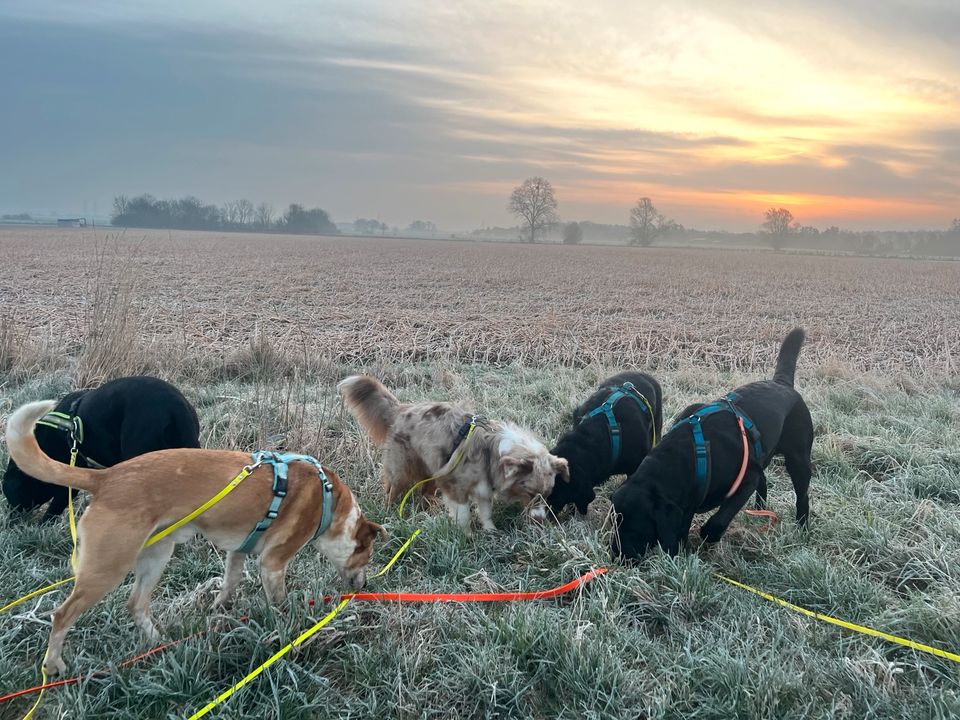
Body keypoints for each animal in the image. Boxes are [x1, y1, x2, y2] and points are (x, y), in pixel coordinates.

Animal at [6, 400, 386, 676]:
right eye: (367, 557)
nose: (364, 587)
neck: (329, 502)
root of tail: (107, 477)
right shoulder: (273, 562)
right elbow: (280, 603)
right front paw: (293, 630)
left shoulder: (239, 551)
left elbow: (229, 584)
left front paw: (219, 612)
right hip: (107, 568)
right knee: (62, 615)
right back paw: (53, 665)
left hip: (156, 555)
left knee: (136, 604)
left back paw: (160, 642)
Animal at [338, 374, 568, 532]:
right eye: (529, 493)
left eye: (547, 494)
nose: (541, 521)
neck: (491, 453)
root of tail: (401, 408)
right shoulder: (455, 485)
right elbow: (464, 515)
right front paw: (467, 536)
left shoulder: (484, 486)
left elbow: (486, 511)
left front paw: (490, 531)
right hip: (403, 468)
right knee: (392, 490)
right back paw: (388, 513)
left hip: (433, 467)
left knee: (425, 492)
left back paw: (430, 509)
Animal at [616, 330, 808, 560]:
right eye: (616, 523)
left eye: (635, 527)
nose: (616, 555)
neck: (692, 455)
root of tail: (781, 383)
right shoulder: (688, 499)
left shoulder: (746, 480)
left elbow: (718, 521)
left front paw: (708, 535)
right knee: (765, 480)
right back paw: (760, 509)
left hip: (798, 459)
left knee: (802, 495)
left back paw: (802, 526)